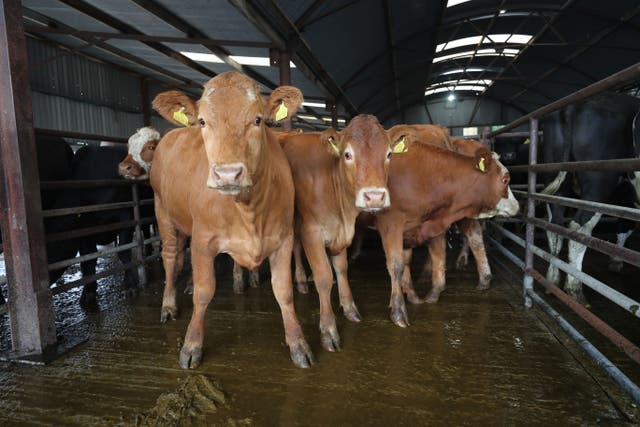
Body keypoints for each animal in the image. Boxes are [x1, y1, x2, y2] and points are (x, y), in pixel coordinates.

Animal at [150, 72, 313, 369]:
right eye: (203, 121)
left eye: (258, 119)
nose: (227, 174)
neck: (248, 210)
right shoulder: (203, 241)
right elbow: (204, 292)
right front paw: (192, 345)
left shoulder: (283, 238)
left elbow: (284, 291)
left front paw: (298, 343)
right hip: (162, 210)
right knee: (169, 255)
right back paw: (168, 304)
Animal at [279, 118, 405, 352]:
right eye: (347, 154)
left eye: (389, 154)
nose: (375, 197)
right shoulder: (311, 231)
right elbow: (324, 277)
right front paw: (328, 330)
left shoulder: (344, 232)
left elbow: (342, 269)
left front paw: (349, 308)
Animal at [542, 92, 640, 304]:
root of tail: (574, 105)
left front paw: (616, 261)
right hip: (598, 183)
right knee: (580, 227)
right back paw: (575, 289)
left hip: (558, 179)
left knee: (555, 224)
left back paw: (552, 279)